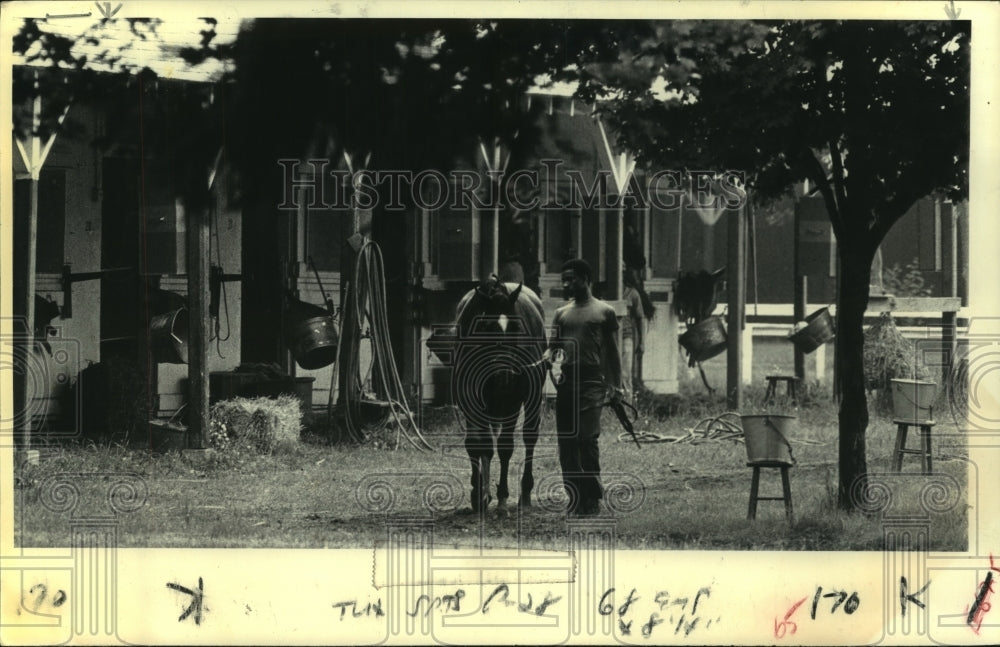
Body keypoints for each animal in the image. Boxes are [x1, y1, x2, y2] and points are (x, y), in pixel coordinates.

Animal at [452, 278, 548, 516]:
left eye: (516, 327)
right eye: (486, 327)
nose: (504, 374)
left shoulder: (511, 401)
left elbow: (504, 447)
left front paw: (502, 498)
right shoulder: (469, 400)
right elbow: (477, 444)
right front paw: (479, 494)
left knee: (529, 437)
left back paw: (525, 494)